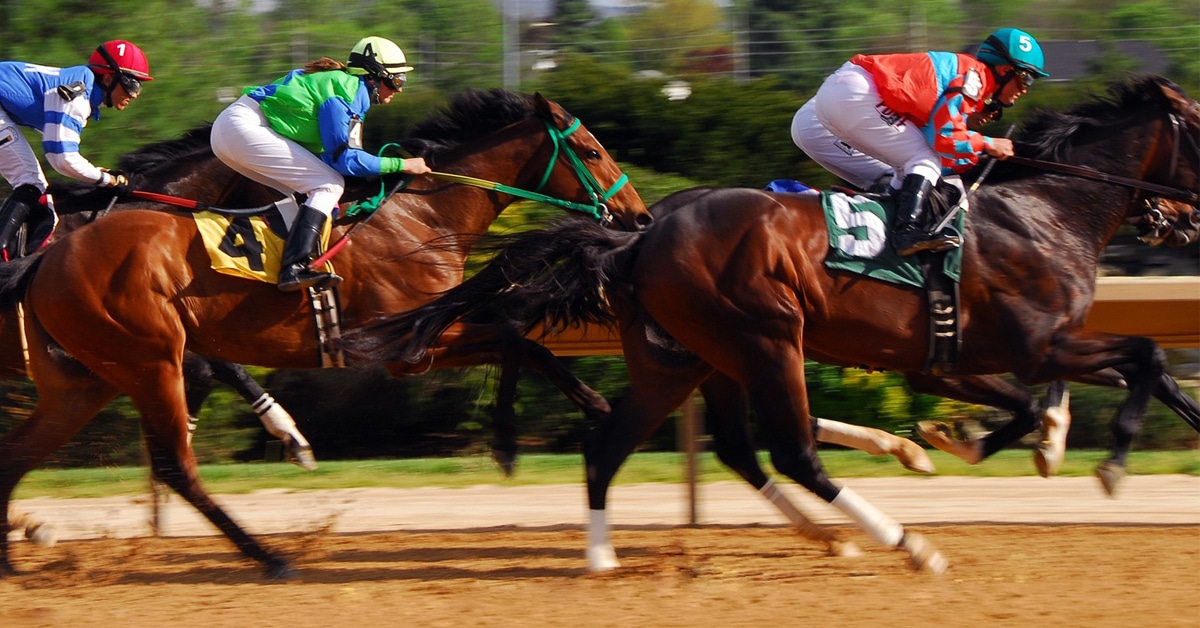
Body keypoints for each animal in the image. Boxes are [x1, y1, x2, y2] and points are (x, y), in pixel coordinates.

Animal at [0, 88, 653, 579]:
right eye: (591, 151)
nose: (640, 217)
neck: (424, 217)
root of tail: (46, 260)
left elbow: (521, 338)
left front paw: (582, 409)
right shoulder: (405, 348)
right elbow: (515, 337)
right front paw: (514, 440)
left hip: (89, 380)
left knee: (21, 456)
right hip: (148, 360)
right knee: (175, 467)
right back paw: (271, 557)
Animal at [346, 76, 1200, 572]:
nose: (1182, 222)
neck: (1044, 211)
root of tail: (640, 236)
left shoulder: (965, 356)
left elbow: (1104, 379)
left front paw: (967, 441)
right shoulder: (1034, 341)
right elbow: (1146, 355)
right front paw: (1106, 462)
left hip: (685, 360)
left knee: (627, 447)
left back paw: (605, 560)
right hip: (762, 337)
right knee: (789, 451)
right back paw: (904, 544)